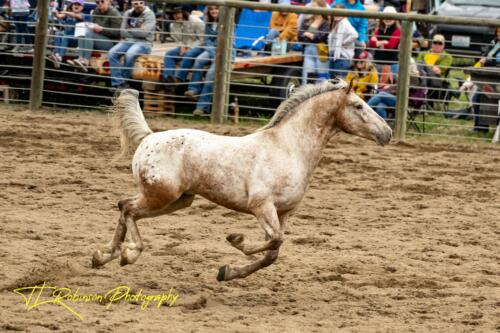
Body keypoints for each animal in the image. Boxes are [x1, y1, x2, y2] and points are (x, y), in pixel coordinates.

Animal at [92, 79, 392, 278]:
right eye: (358, 106)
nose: (386, 133)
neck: (288, 147)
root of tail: (148, 137)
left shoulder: (284, 212)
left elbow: (273, 253)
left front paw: (228, 272)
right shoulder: (261, 207)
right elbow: (274, 240)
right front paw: (236, 240)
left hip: (177, 200)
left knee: (124, 207)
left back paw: (103, 256)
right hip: (160, 196)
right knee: (128, 208)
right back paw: (128, 254)